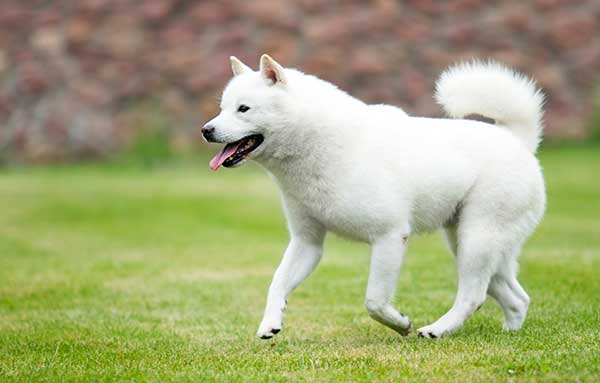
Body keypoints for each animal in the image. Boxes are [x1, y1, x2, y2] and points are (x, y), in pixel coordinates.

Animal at [204, 53, 548, 340]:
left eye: (243, 109)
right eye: (222, 108)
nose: (206, 130)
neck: (320, 146)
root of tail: (517, 140)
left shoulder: (390, 237)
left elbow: (374, 301)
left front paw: (400, 323)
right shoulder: (307, 242)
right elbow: (277, 283)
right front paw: (270, 323)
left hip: (476, 240)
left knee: (473, 296)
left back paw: (436, 329)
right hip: (473, 244)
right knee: (517, 298)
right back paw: (509, 335)